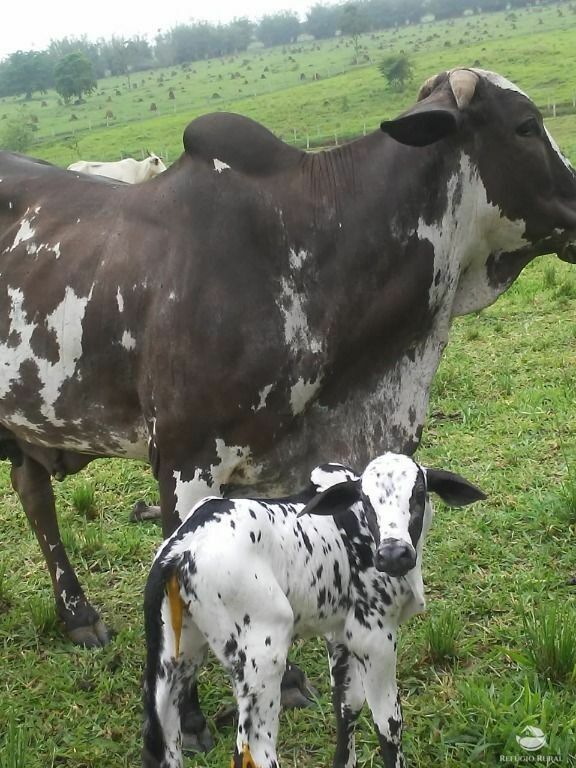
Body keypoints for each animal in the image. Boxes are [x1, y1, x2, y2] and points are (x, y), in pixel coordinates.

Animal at [141, 450, 486, 768]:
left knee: (164, 741)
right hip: (262, 656)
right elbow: (388, 723)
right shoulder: (374, 636)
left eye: (417, 494)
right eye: (366, 501)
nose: (393, 554)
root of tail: (182, 548)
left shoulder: (341, 634)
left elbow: (347, 706)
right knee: (253, 749)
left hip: (178, 657)